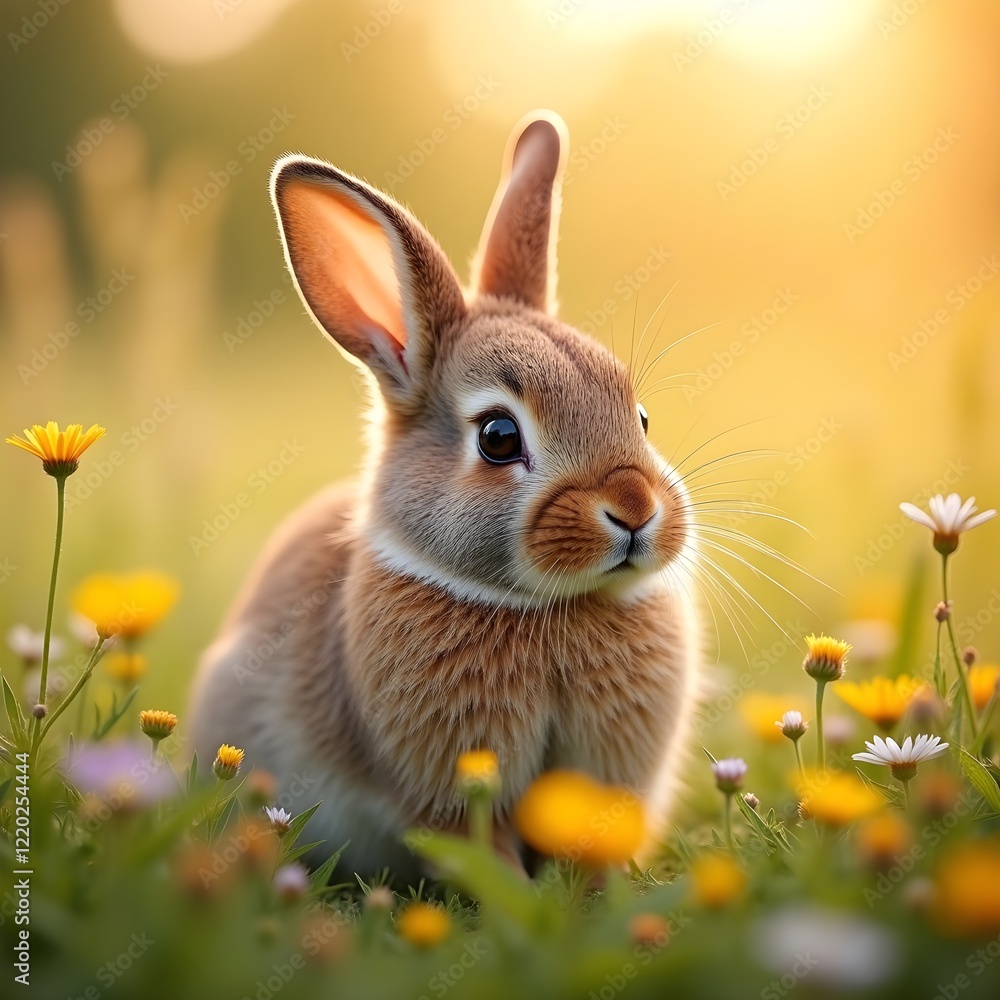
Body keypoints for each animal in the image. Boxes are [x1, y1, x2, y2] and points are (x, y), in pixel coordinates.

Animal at [188, 110, 700, 880]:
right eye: (497, 437)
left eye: (640, 417)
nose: (637, 511)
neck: (545, 607)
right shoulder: (446, 791)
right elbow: (481, 849)